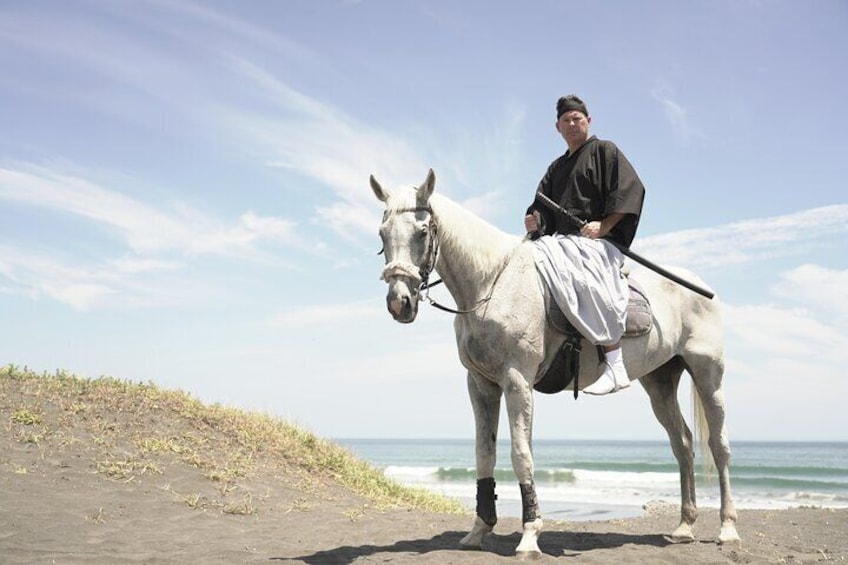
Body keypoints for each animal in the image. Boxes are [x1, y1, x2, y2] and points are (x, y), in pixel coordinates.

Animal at [368, 167, 740, 556]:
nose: (399, 302)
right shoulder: (481, 384)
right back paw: (684, 524)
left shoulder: (517, 380)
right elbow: (484, 453)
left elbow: (521, 454)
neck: (493, 281)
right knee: (682, 445)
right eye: (382, 234)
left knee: (719, 446)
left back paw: (727, 527)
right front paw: (479, 529)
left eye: (422, 231)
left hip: (707, 374)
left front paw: (530, 534)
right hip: (660, 382)